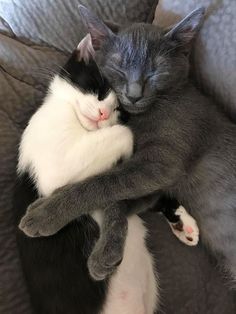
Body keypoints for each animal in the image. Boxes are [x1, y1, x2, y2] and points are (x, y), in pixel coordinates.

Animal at [19, 5, 236, 284]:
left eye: (155, 72)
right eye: (119, 70)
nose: (133, 95)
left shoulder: (161, 165)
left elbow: (102, 185)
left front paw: (46, 213)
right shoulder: (157, 180)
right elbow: (118, 199)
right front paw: (108, 251)